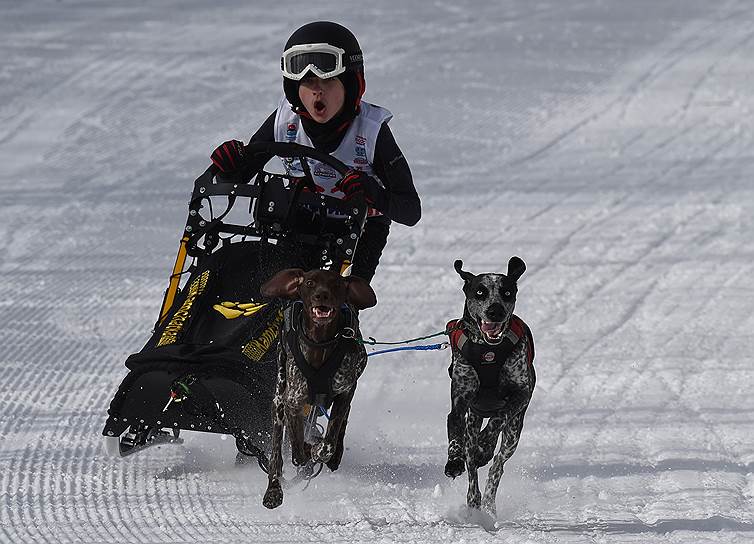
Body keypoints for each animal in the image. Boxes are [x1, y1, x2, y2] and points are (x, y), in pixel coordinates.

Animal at [258, 268, 376, 510]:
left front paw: (319, 450)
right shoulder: (292, 400)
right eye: (310, 283)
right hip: (278, 399)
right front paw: (304, 451)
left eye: (337, 284)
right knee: (277, 452)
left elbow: (327, 443)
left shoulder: (345, 392)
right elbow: (296, 447)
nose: (322, 295)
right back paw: (274, 488)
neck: (320, 344)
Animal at [444, 258, 532, 516]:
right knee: (472, 465)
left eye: (507, 292)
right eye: (480, 292)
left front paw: (485, 443)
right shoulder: (459, 404)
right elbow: (456, 438)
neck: (487, 351)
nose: (495, 310)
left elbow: (499, 417)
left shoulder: (521, 394)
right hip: (472, 420)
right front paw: (454, 462)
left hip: (513, 434)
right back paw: (474, 500)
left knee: (497, 465)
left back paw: (489, 504)